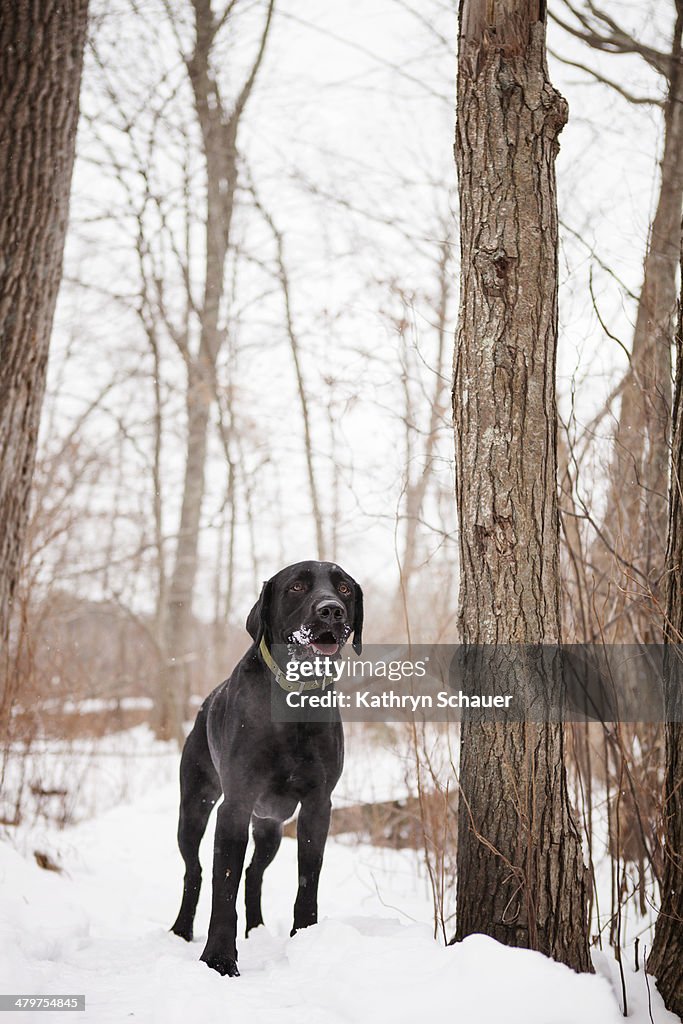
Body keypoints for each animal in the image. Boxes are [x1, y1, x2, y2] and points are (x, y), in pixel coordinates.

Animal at [171, 561, 362, 974]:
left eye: (344, 588)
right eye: (296, 587)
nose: (332, 610)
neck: (294, 703)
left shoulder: (317, 806)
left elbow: (308, 880)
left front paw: (305, 938)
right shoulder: (235, 806)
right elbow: (223, 888)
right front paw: (219, 958)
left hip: (271, 827)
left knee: (253, 873)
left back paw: (256, 928)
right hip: (194, 808)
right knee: (194, 870)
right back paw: (180, 929)